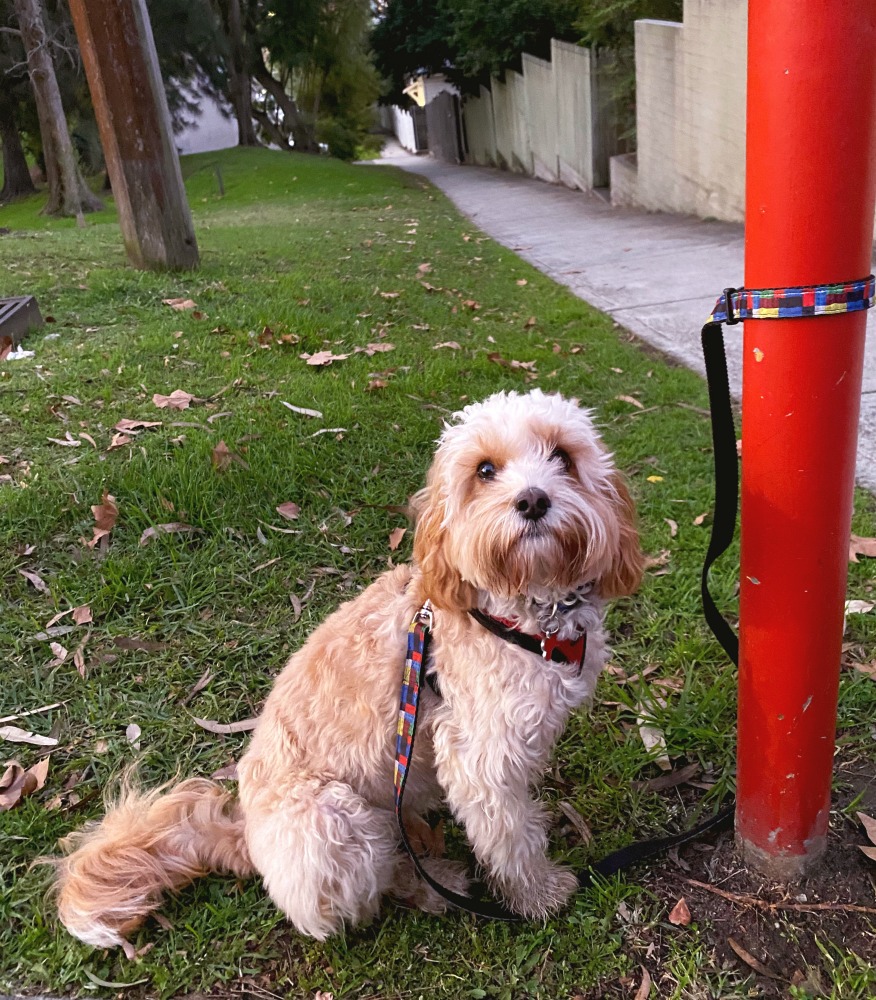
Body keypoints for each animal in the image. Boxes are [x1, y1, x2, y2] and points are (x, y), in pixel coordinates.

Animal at [53, 386, 644, 948]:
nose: (533, 499)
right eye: (484, 471)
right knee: (375, 885)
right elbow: (510, 838)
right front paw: (539, 893)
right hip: (334, 822)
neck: (522, 612)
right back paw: (433, 885)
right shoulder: (480, 758)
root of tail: (244, 839)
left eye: (562, 456)